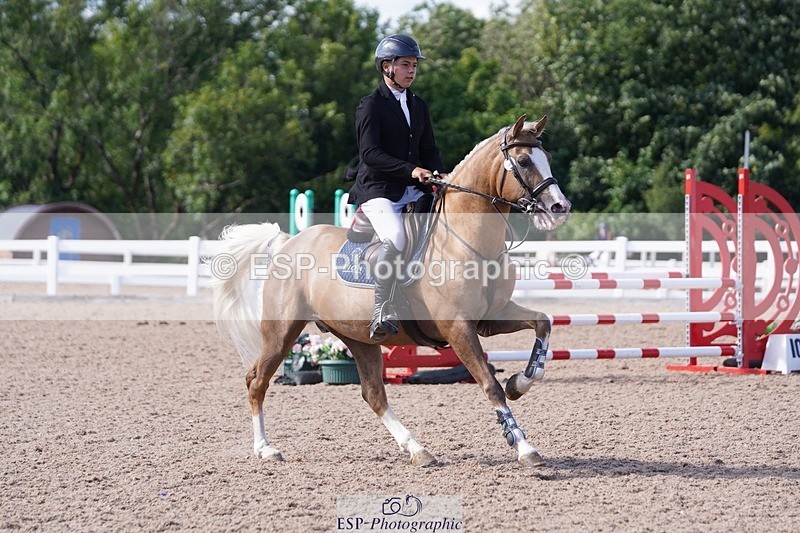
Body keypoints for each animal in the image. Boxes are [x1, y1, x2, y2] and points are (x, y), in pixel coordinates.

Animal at [211, 114, 571, 467]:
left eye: (549, 157)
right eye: (523, 161)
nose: (560, 207)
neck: (467, 239)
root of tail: (288, 241)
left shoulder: (491, 317)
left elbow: (543, 323)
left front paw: (520, 383)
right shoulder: (457, 327)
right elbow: (489, 384)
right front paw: (523, 446)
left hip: (359, 338)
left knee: (373, 393)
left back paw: (417, 449)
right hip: (282, 331)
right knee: (256, 380)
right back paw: (265, 449)